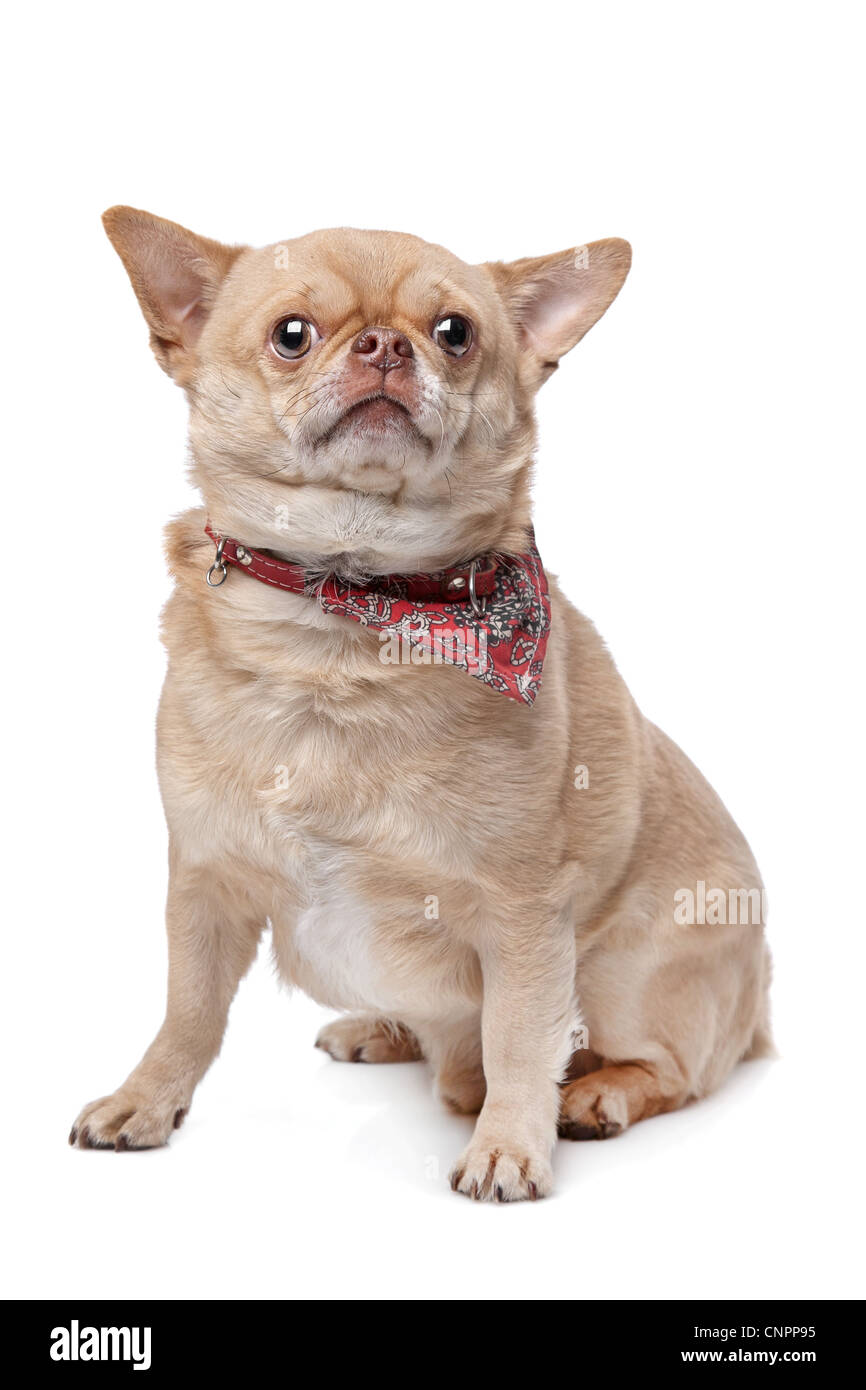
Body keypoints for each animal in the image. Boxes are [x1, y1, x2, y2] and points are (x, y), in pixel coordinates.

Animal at [69, 205, 772, 1195]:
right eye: (292, 335)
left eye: (455, 333)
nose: (385, 344)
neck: (348, 611)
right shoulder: (203, 886)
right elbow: (188, 1012)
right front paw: (146, 1099)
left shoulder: (524, 916)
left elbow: (519, 1036)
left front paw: (510, 1146)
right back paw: (385, 1030)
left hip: (627, 974)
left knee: (662, 1067)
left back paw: (595, 1096)